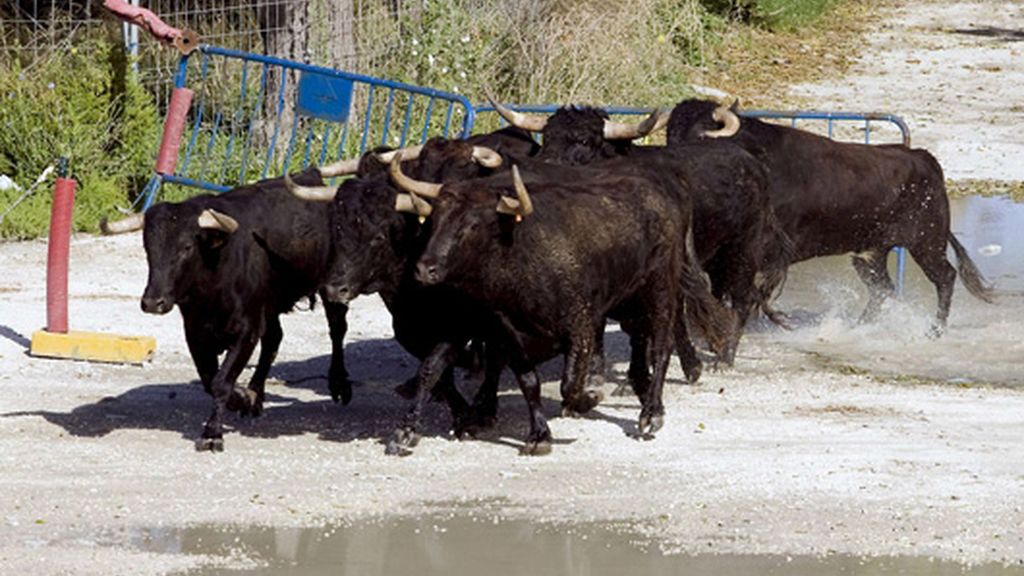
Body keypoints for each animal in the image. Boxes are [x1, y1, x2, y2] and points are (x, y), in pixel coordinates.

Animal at [663, 98, 991, 327]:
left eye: (700, 137)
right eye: (669, 137)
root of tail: (922, 157)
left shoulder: (767, 250)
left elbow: (755, 287)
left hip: (927, 241)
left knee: (945, 277)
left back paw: (935, 330)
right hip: (872, 252)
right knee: (882, 289)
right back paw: (860, 327)